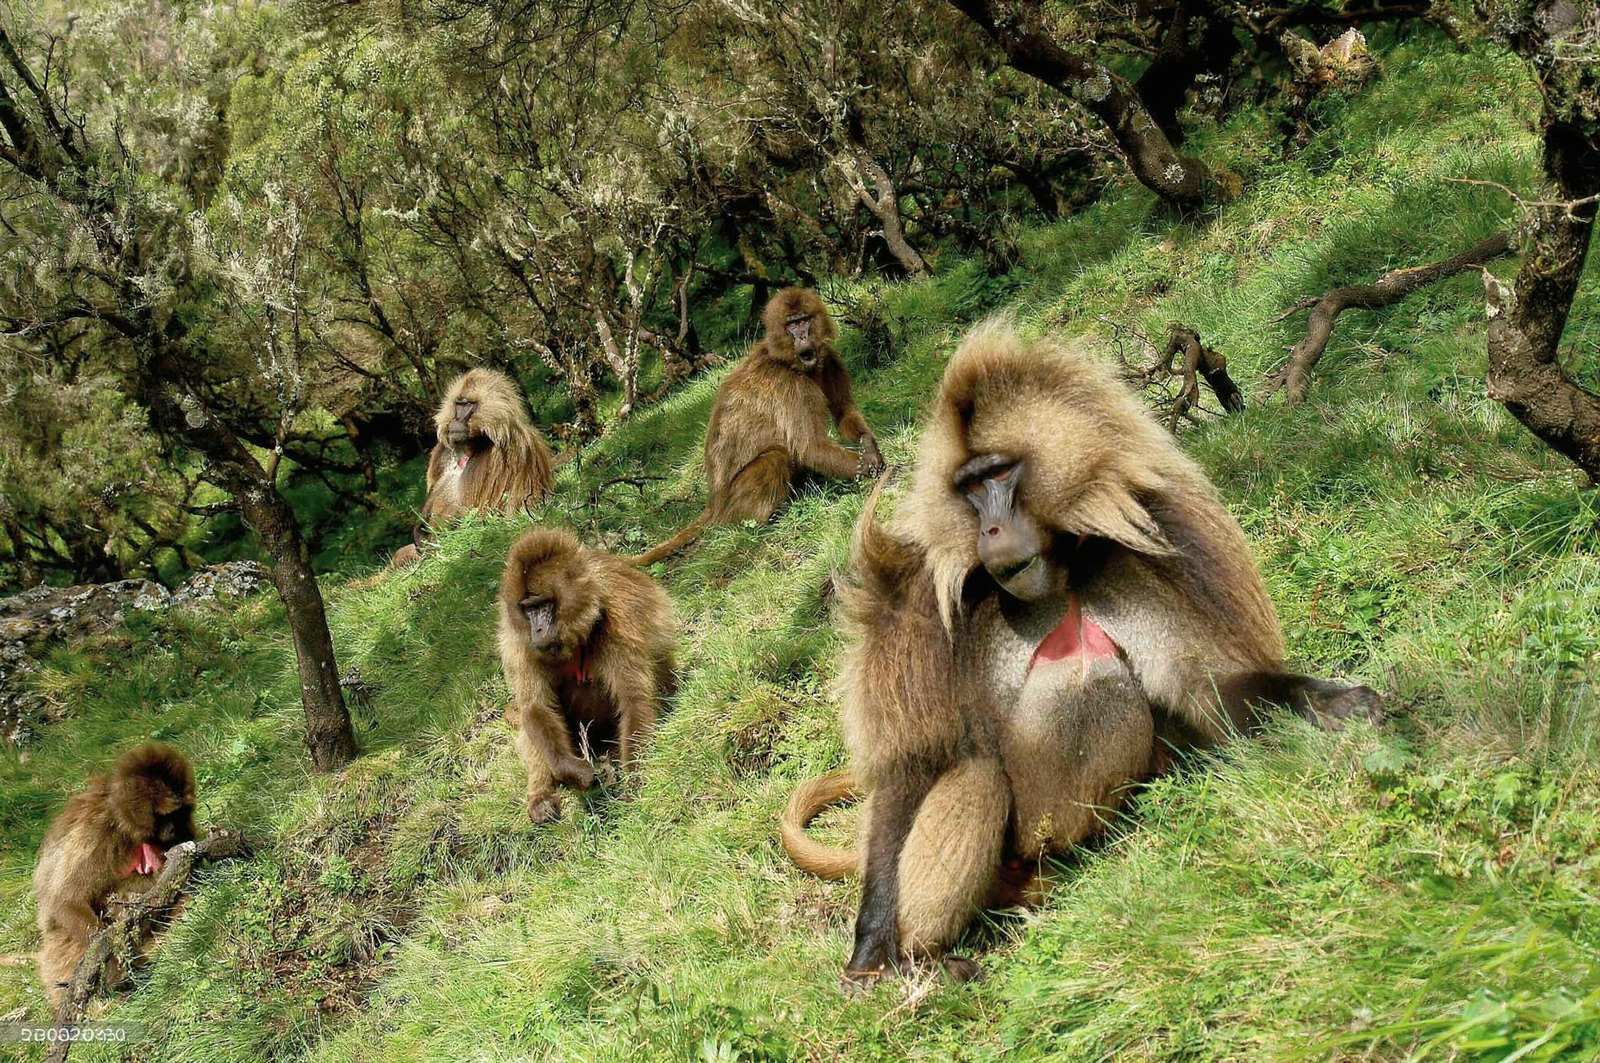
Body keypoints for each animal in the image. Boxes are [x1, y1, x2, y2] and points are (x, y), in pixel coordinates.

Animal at [33, 743, 197, 1006]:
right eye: (165, 815)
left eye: (178, 813)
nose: (173, 829)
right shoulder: (99, 830)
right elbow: (65, 900)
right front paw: (112, 966)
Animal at [385, 368, 557, 571]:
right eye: (458, 404)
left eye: (468, 405)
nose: (456, 420)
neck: (472, 445)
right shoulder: (443, 452)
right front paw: (418, 530)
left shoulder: (513, 449)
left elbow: (508, 512)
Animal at [498, 528, 677, 823]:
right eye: (528, 609)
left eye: (544, 604)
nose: (537, 630)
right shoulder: (517, 640)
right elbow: (536, 708)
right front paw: (573, 773)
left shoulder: (621, 615)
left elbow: (634, 700)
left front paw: (634, 787)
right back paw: (541, 796)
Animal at [631, 288, 884, 566]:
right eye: (792, 324)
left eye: (805, 320)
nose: (803, 336)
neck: (790, 362)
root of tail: (713, 503)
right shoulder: (791, 385)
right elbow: (811, 448)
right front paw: (873, 468)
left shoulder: (829, 359)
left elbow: (845, 413)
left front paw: (869, 448)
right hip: (733, 505)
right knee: (776, 456)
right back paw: (766, 520)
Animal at [782, 323, 1380, 988]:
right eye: (968, 487)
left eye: (999, 474)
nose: (990, 533)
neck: (1056, 578)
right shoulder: (913, 605)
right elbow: (913, 765)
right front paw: (871, 947)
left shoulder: (1153, 543)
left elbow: (1205, 689)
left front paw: (1330, 701)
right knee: (975, 771)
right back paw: (923, 959)